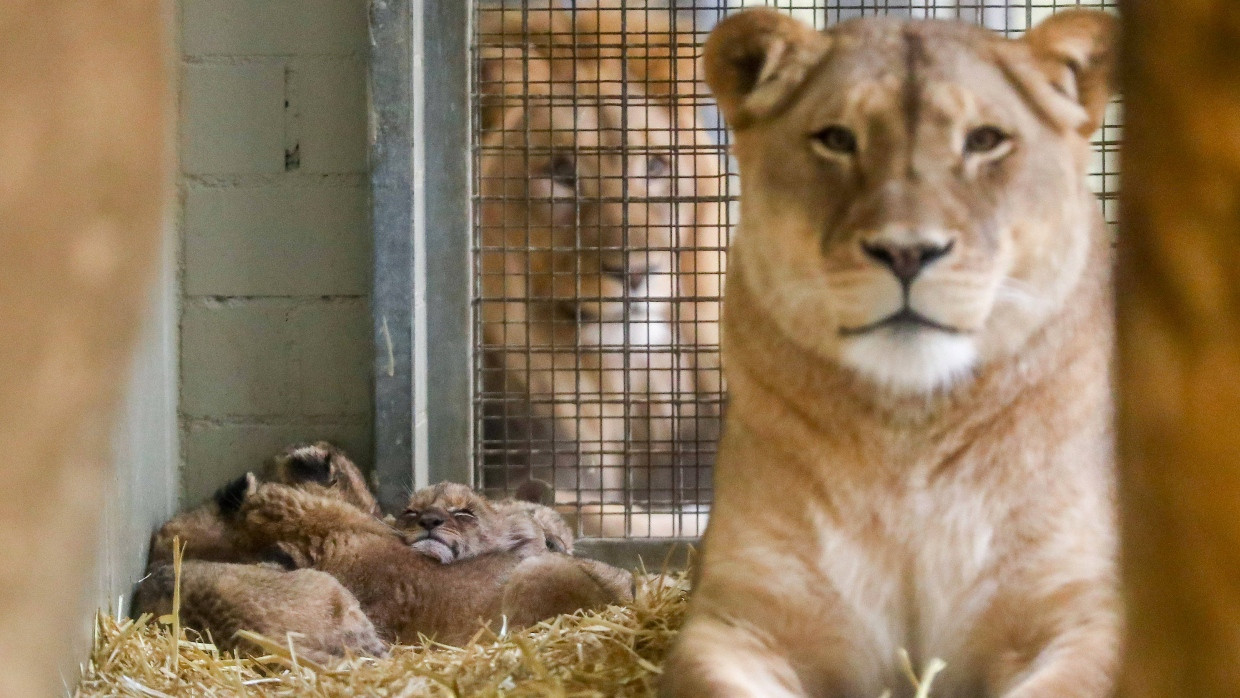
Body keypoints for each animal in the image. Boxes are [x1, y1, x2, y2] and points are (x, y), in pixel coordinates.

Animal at [669, 6, 1125, 698]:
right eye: (836, 138)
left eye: (984, 139)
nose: (908, 252)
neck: (909, 434)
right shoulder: (736, 622)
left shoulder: (1086, 615)